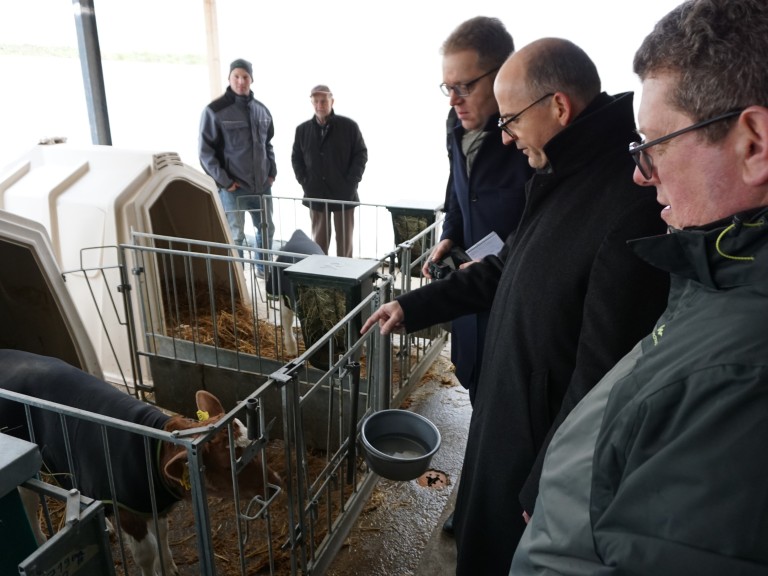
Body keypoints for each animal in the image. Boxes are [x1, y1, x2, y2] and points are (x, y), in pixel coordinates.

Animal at [0, 346, 282, 576]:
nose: (275, 483)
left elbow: (163, 534)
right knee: (28, 498)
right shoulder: (128, 509)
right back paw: (39, 540)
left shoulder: (154, 503)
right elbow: (147, 552)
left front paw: (168, 566)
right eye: (228, 465)